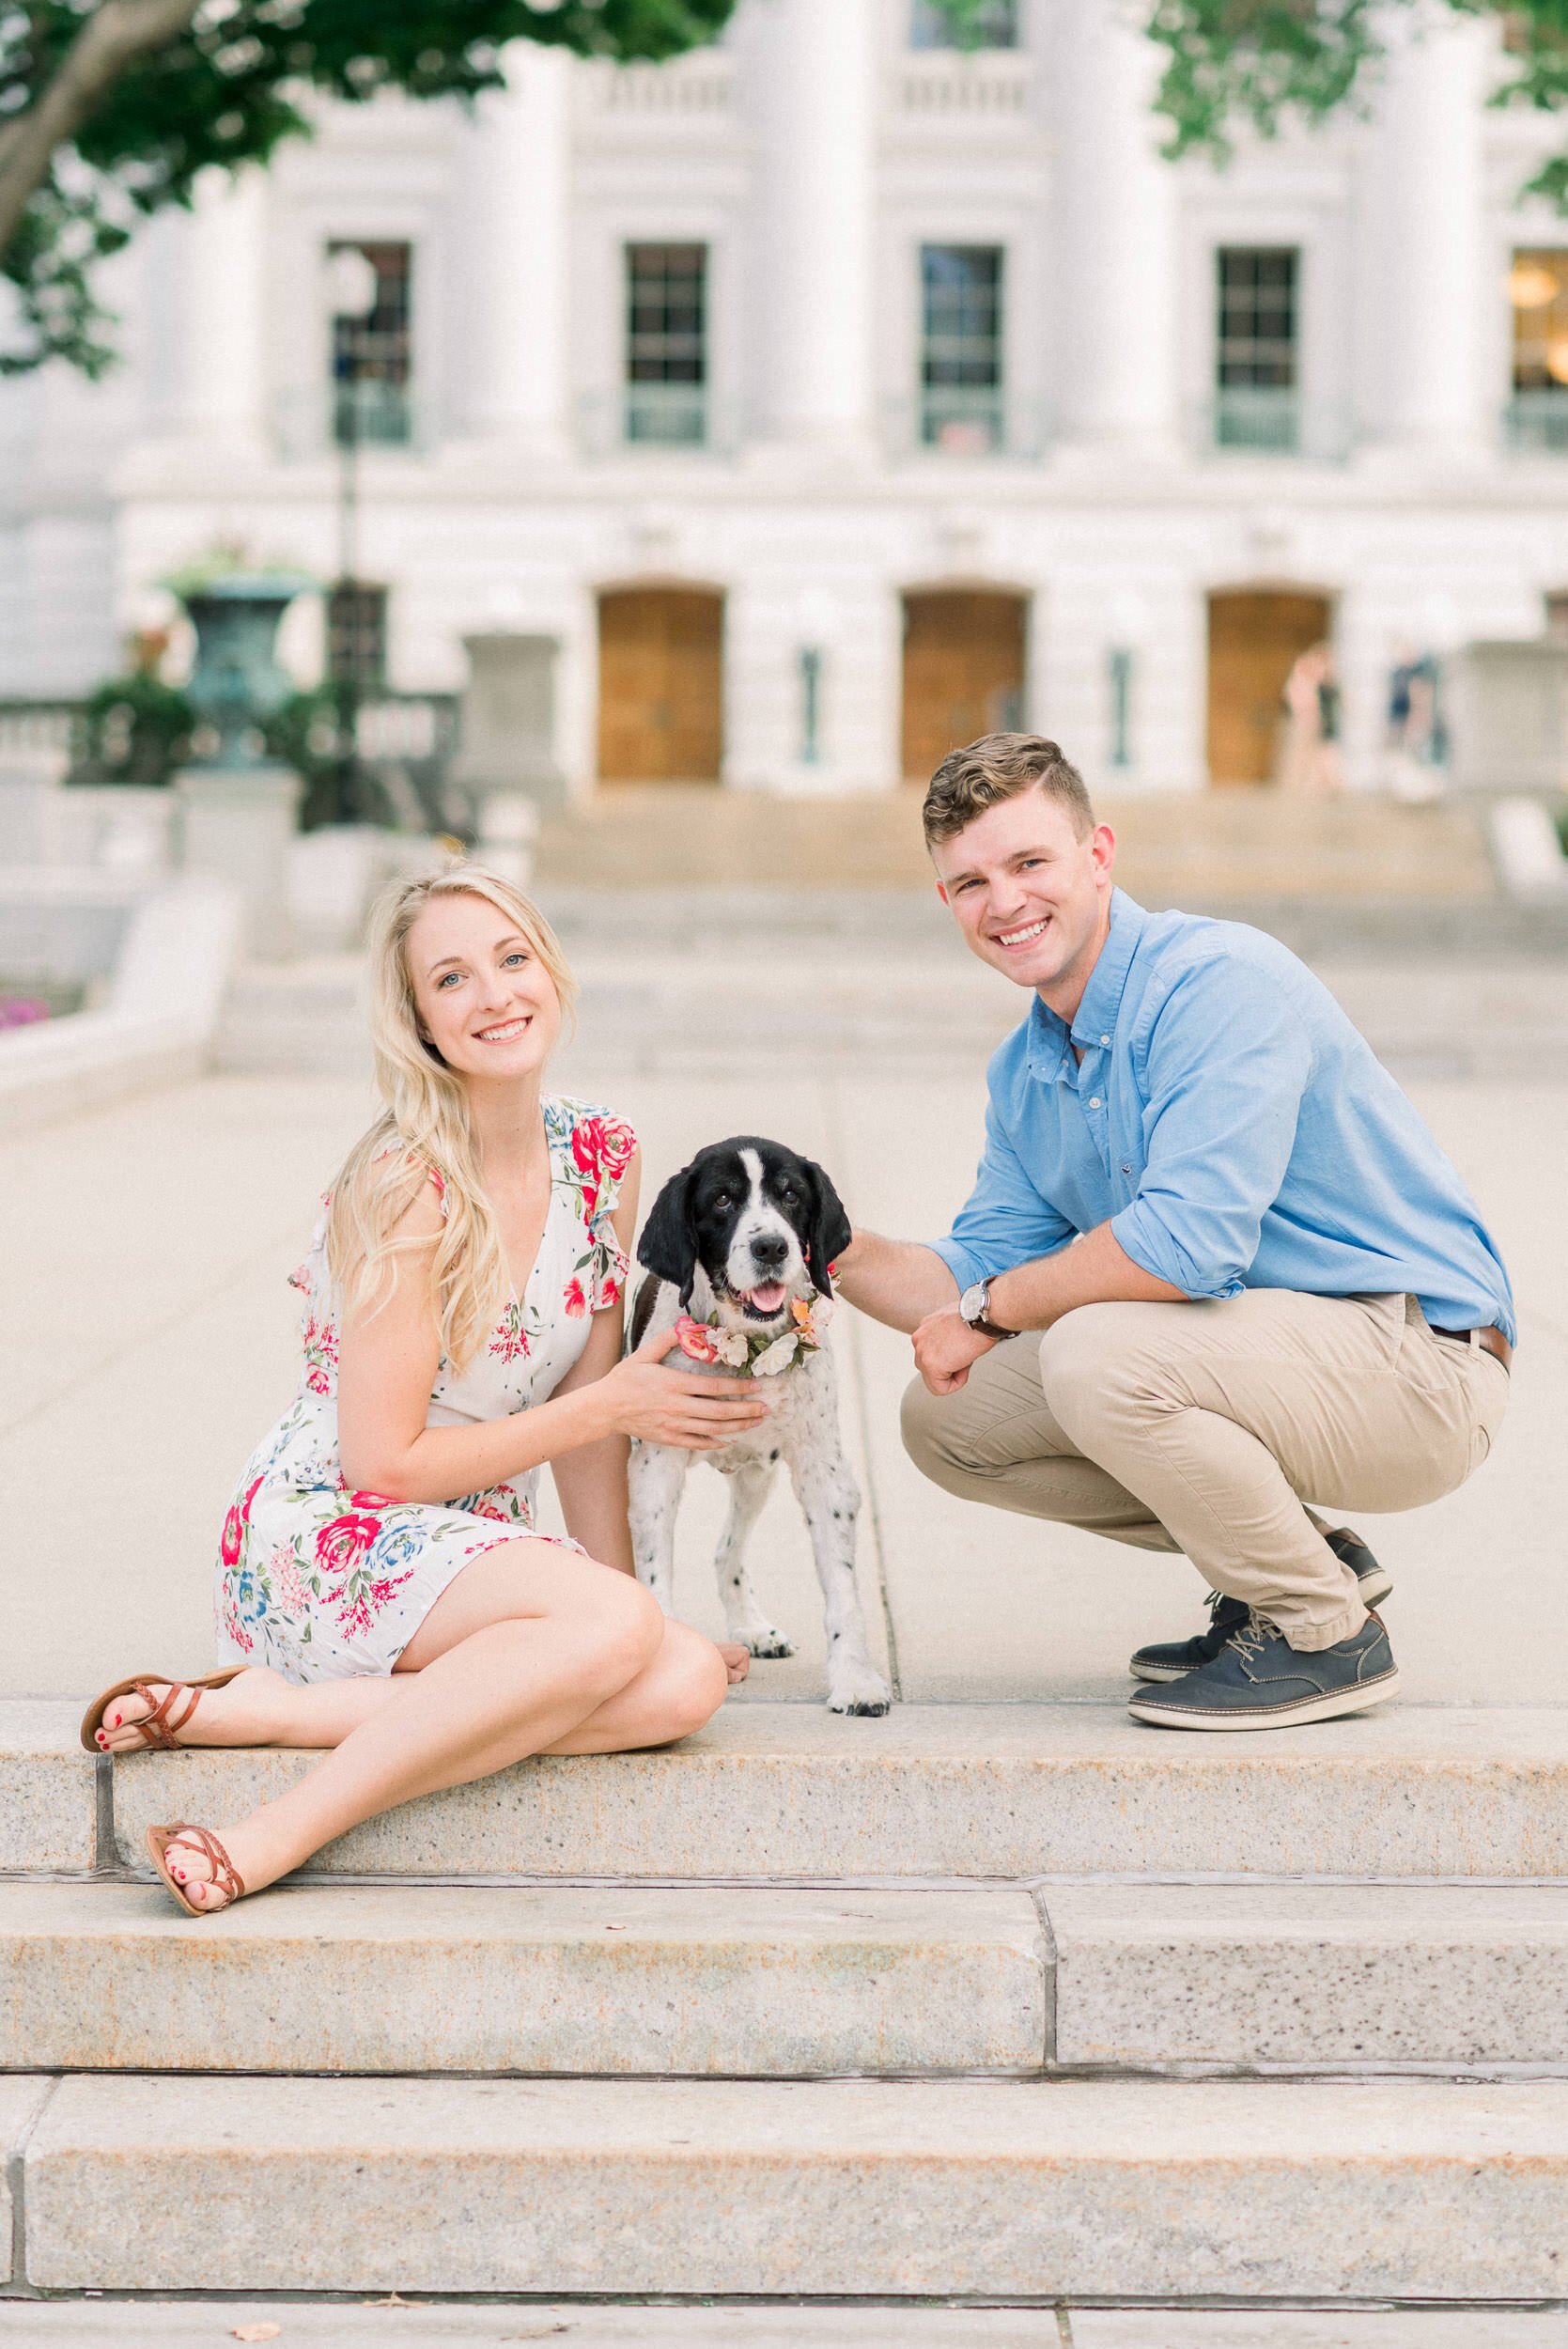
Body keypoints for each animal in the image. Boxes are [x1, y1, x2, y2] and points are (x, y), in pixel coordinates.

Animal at [624, 1142, 892, 1729]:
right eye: (722, 1200)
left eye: (791, 1194)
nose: (771, 1246)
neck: (745, 1344)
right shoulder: (655, 1470)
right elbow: (653, 1576)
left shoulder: (824, 1472)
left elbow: (844, 1592)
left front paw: (856, 1680)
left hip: (756, 1475)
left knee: (728, 1552)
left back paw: (750, 1627)